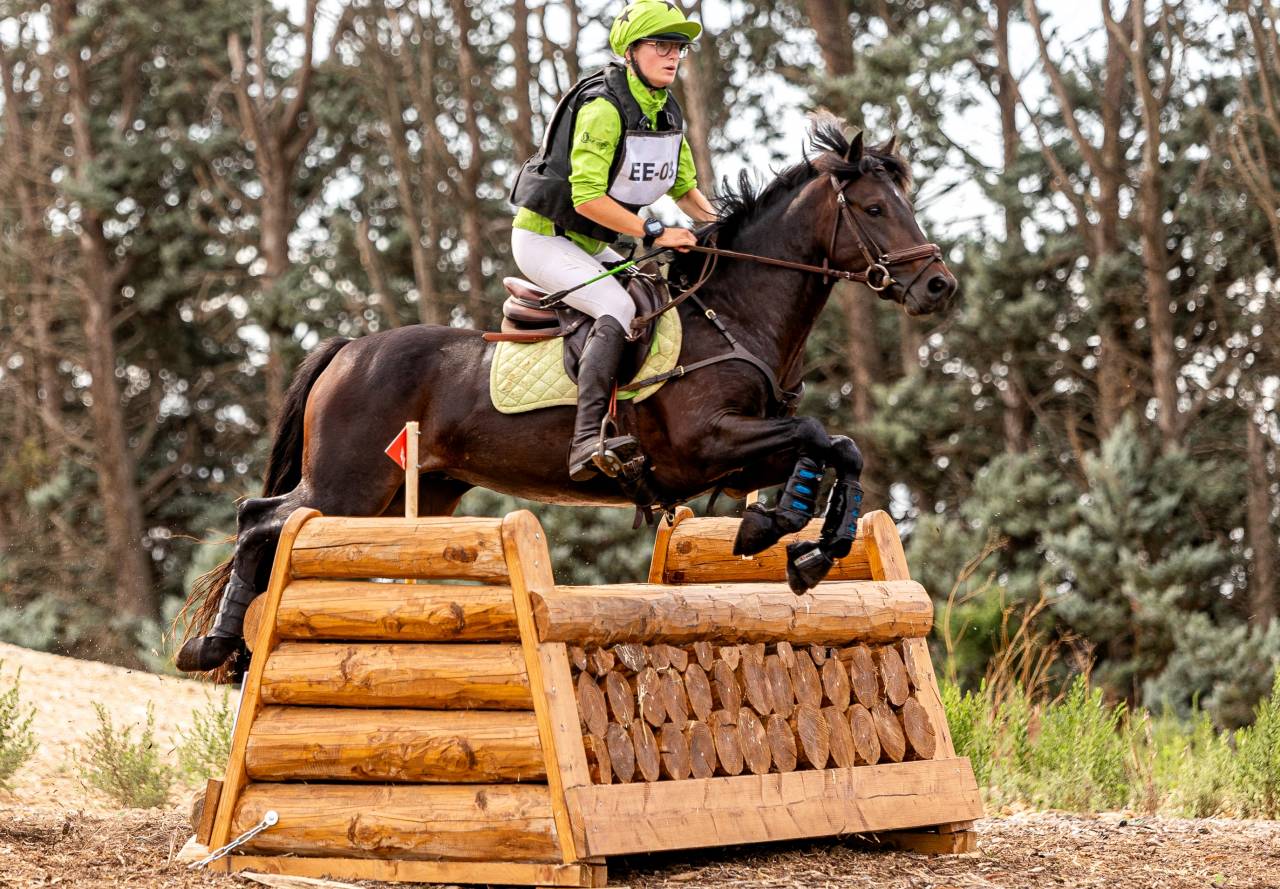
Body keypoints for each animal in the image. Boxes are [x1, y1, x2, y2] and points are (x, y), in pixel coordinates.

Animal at [176, 118, 956, 674]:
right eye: (876, 208)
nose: (939, 287)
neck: (734, 312)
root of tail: (349, 348)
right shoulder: (707, 444)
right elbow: (822, 437)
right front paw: (792, 537)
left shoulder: (737, 461)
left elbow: (836, 449)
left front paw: (799, 542)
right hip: (350, 482)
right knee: (260, 518)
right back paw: (216, 646)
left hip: (413, 495)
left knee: (279, 527)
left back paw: (236, 649)